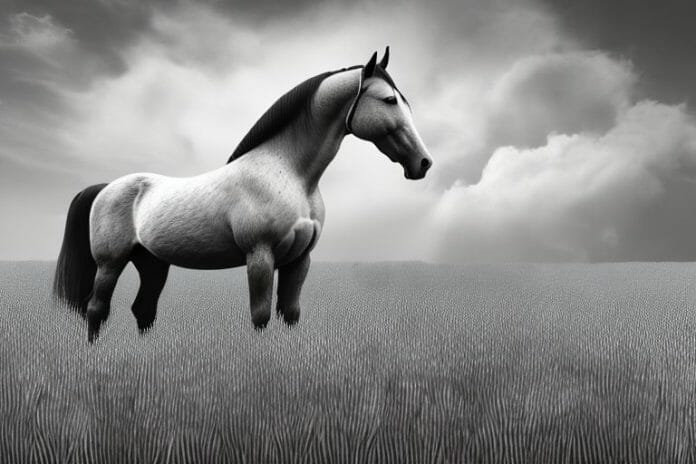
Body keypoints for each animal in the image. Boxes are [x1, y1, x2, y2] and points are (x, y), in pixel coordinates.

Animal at [53, 47, 433, 342]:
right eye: (389, 100)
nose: (424, 163)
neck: (290, 174)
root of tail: (107, 187)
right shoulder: (260, 257)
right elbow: (260, 317)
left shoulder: (300, 260)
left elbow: (290, 313)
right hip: (110, 262)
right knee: (97, 309)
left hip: (152, 262)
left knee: (143, 309)